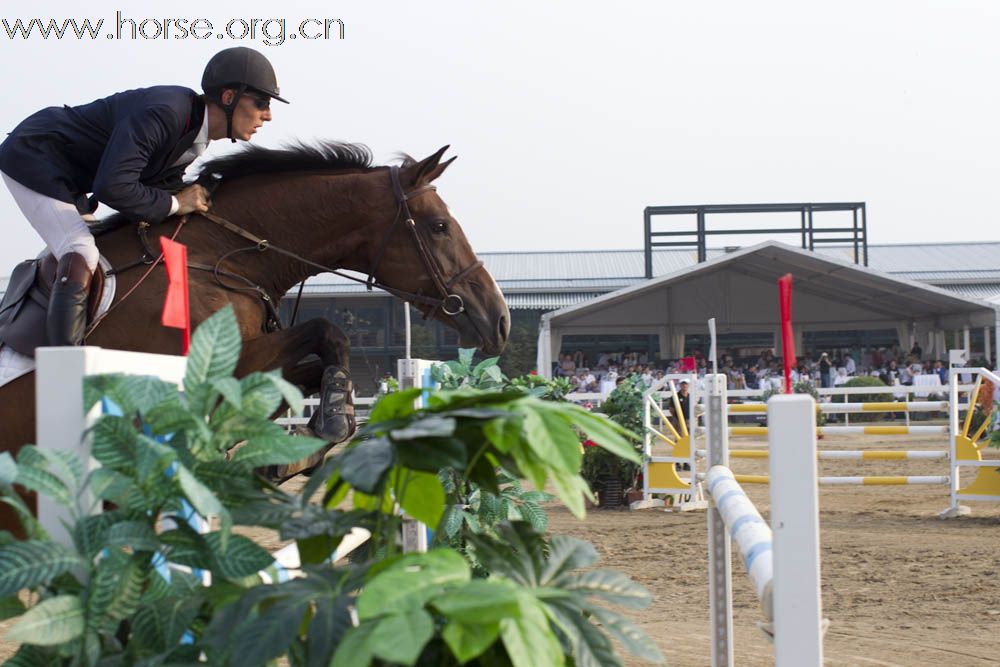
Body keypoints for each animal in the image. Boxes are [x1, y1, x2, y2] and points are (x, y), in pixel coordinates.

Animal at [0, 144, 512, 536]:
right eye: (439, 226)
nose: (501, 321)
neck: (217, 256)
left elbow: (305, 376)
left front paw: (292, 449)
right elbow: (328, 332)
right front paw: (329, 424)